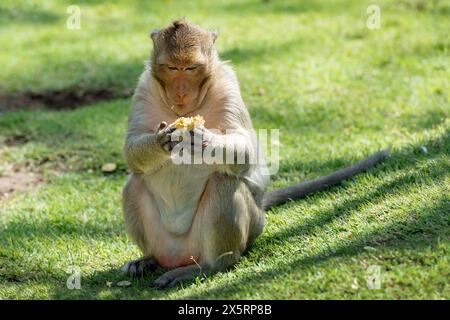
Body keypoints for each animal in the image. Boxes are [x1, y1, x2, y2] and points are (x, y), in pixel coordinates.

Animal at [121, 18, 388, 288]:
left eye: (191, 68)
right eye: (172, 67)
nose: (181, 92)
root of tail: (179, 257)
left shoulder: (227, 85)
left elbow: (245, 151)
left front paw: (204, 140)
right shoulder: (144, 87)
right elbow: (131, 149)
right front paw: (162, 140)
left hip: (249, 228)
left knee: (224, 182)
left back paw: (208, 267)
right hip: (165, 243)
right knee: (135, 183)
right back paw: (148, 260)